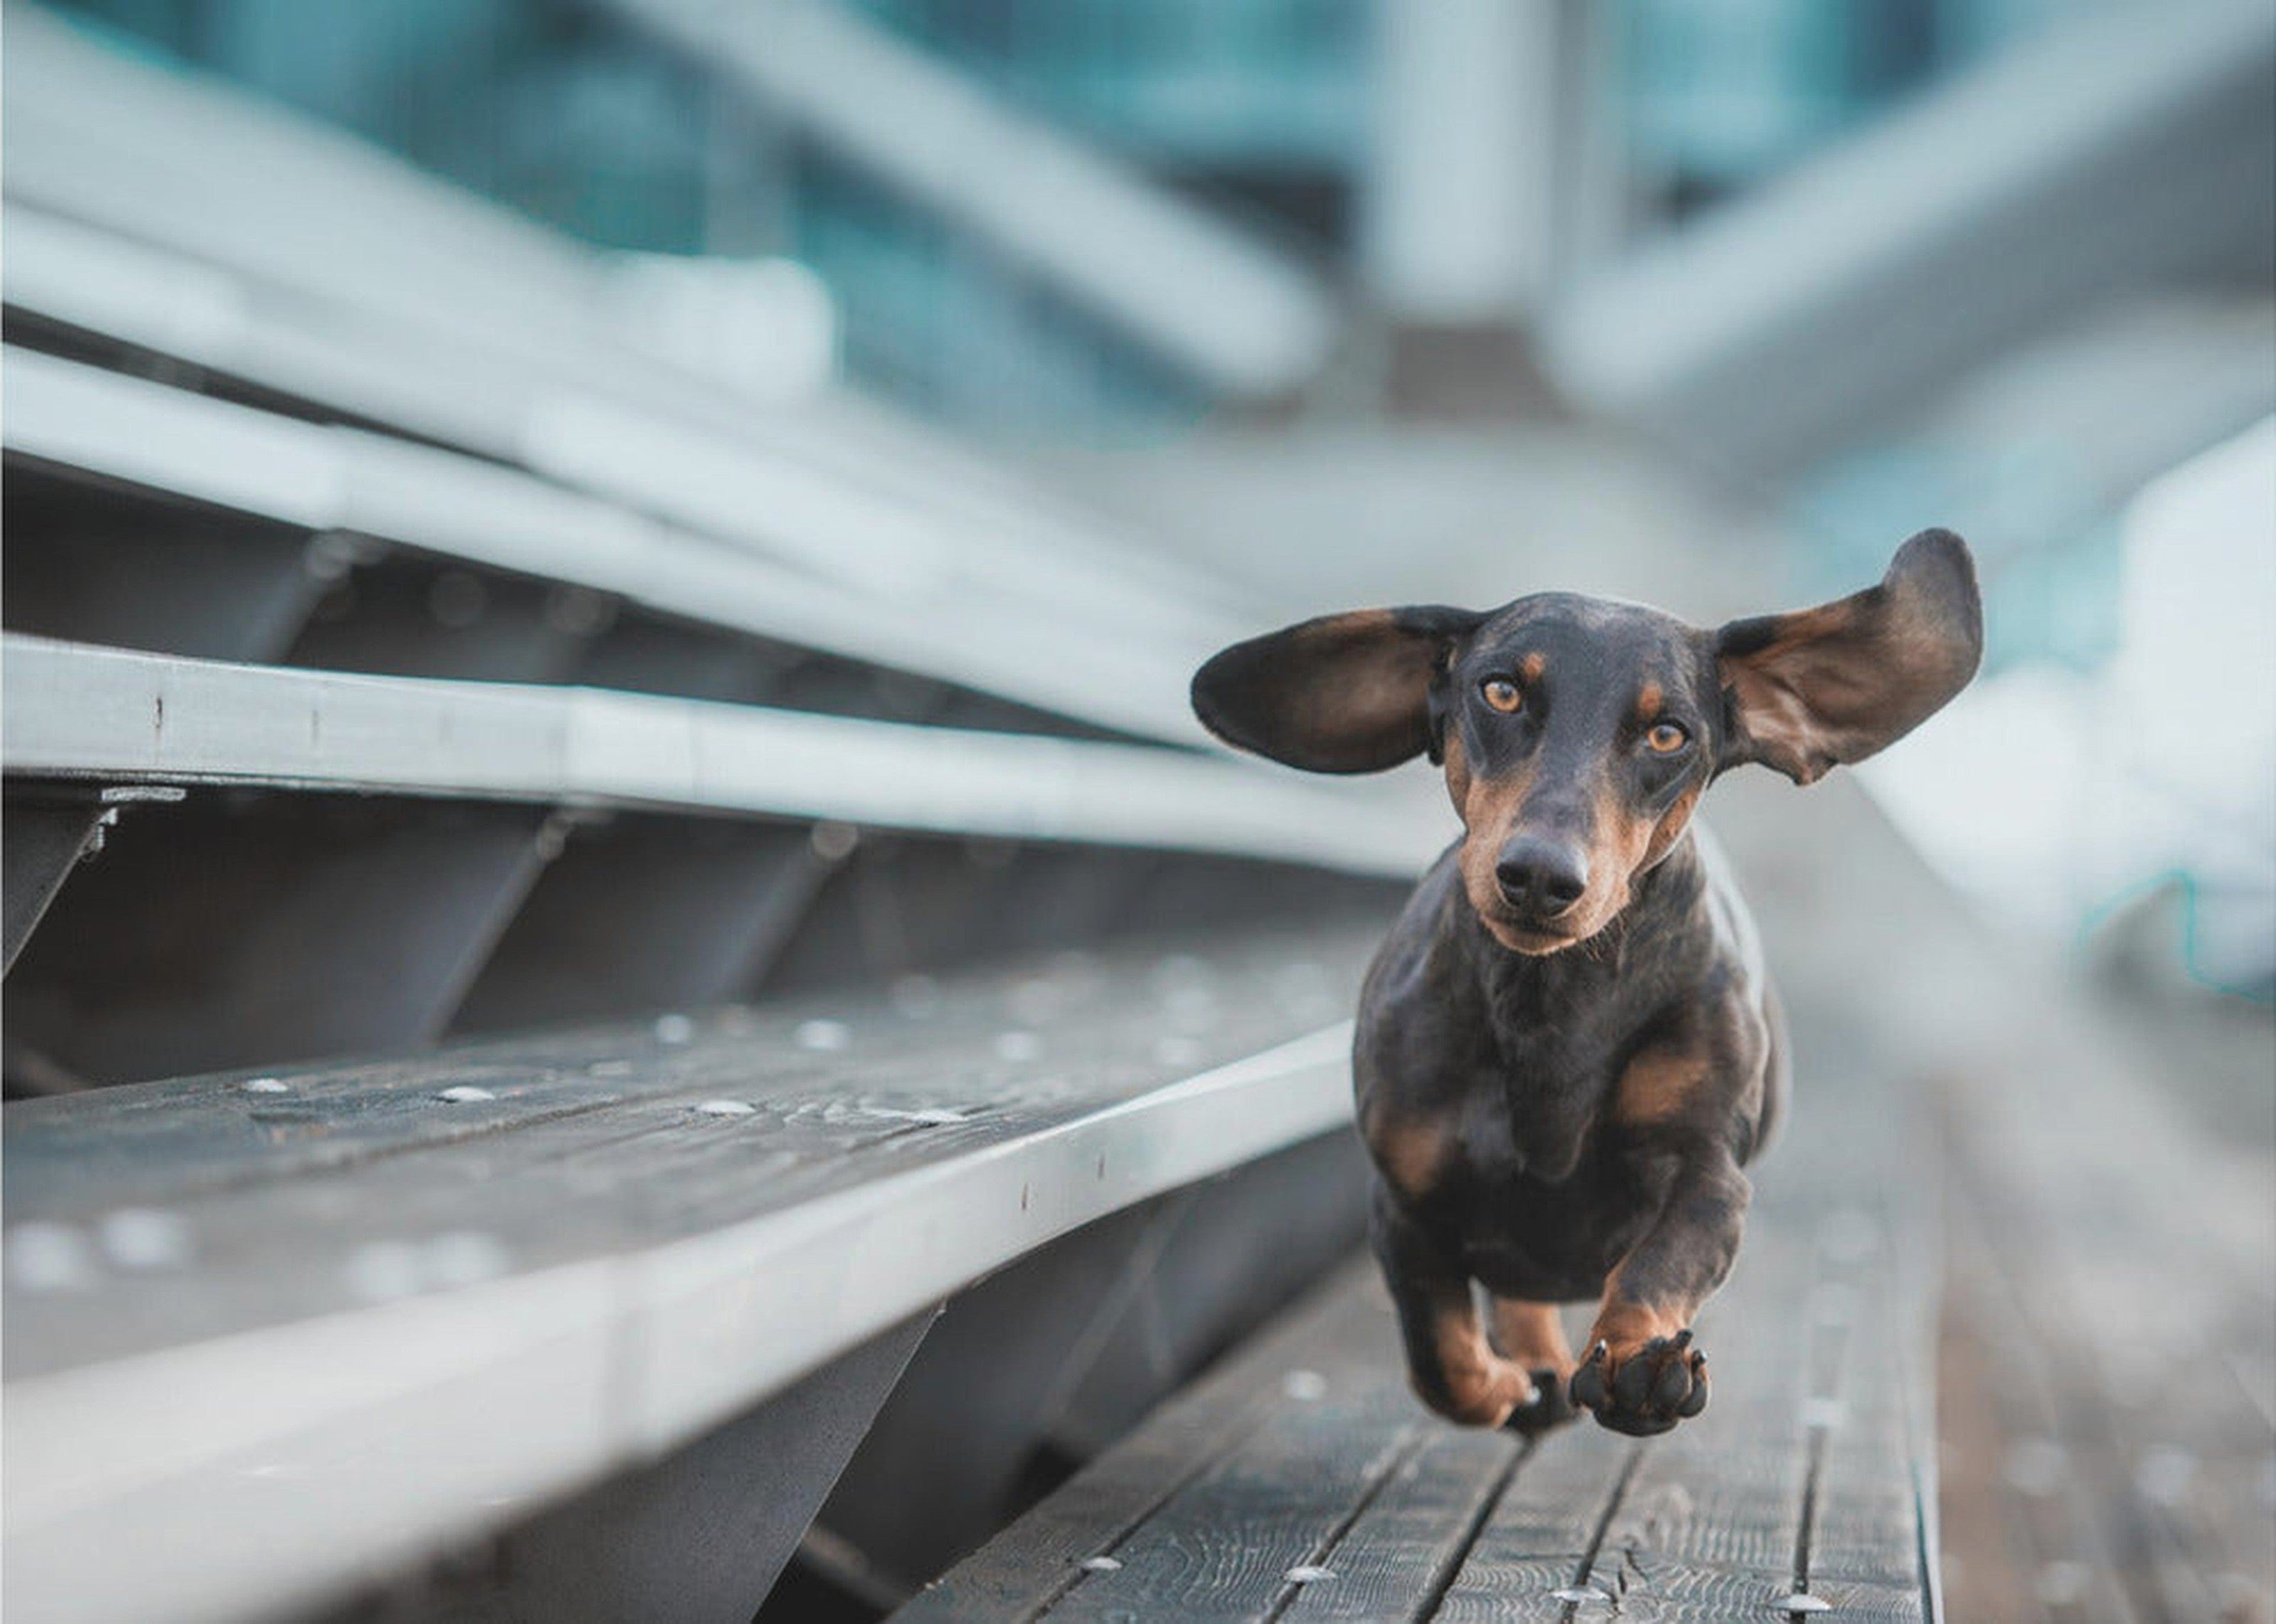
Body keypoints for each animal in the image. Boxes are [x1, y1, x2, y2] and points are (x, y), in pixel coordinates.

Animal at [1193, 528, 1975, 1428]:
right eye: (1500, 691)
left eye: (1668, 735)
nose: (1539, 876)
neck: (1553, 1008)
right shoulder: (1403, 1200)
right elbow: (1439, 1357)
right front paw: (1500, 1383)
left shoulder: (1711, 1175)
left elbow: (1656, 1267)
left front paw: (1638, 1361)